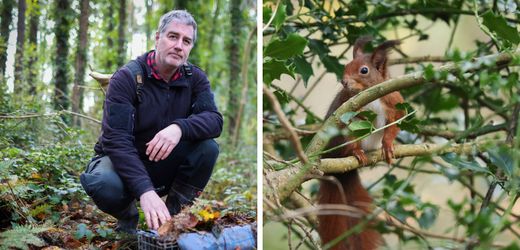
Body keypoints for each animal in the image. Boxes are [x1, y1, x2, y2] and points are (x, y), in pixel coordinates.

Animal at [316, 37, 406, 250]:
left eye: (364, 70)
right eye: (346, 66)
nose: (344, 82)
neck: (368, 94)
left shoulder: (394, 100)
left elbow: (396, 122)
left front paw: (388, 145)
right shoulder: (346, 111)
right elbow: (349, 129)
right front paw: (357, 151)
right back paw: (357, 153)